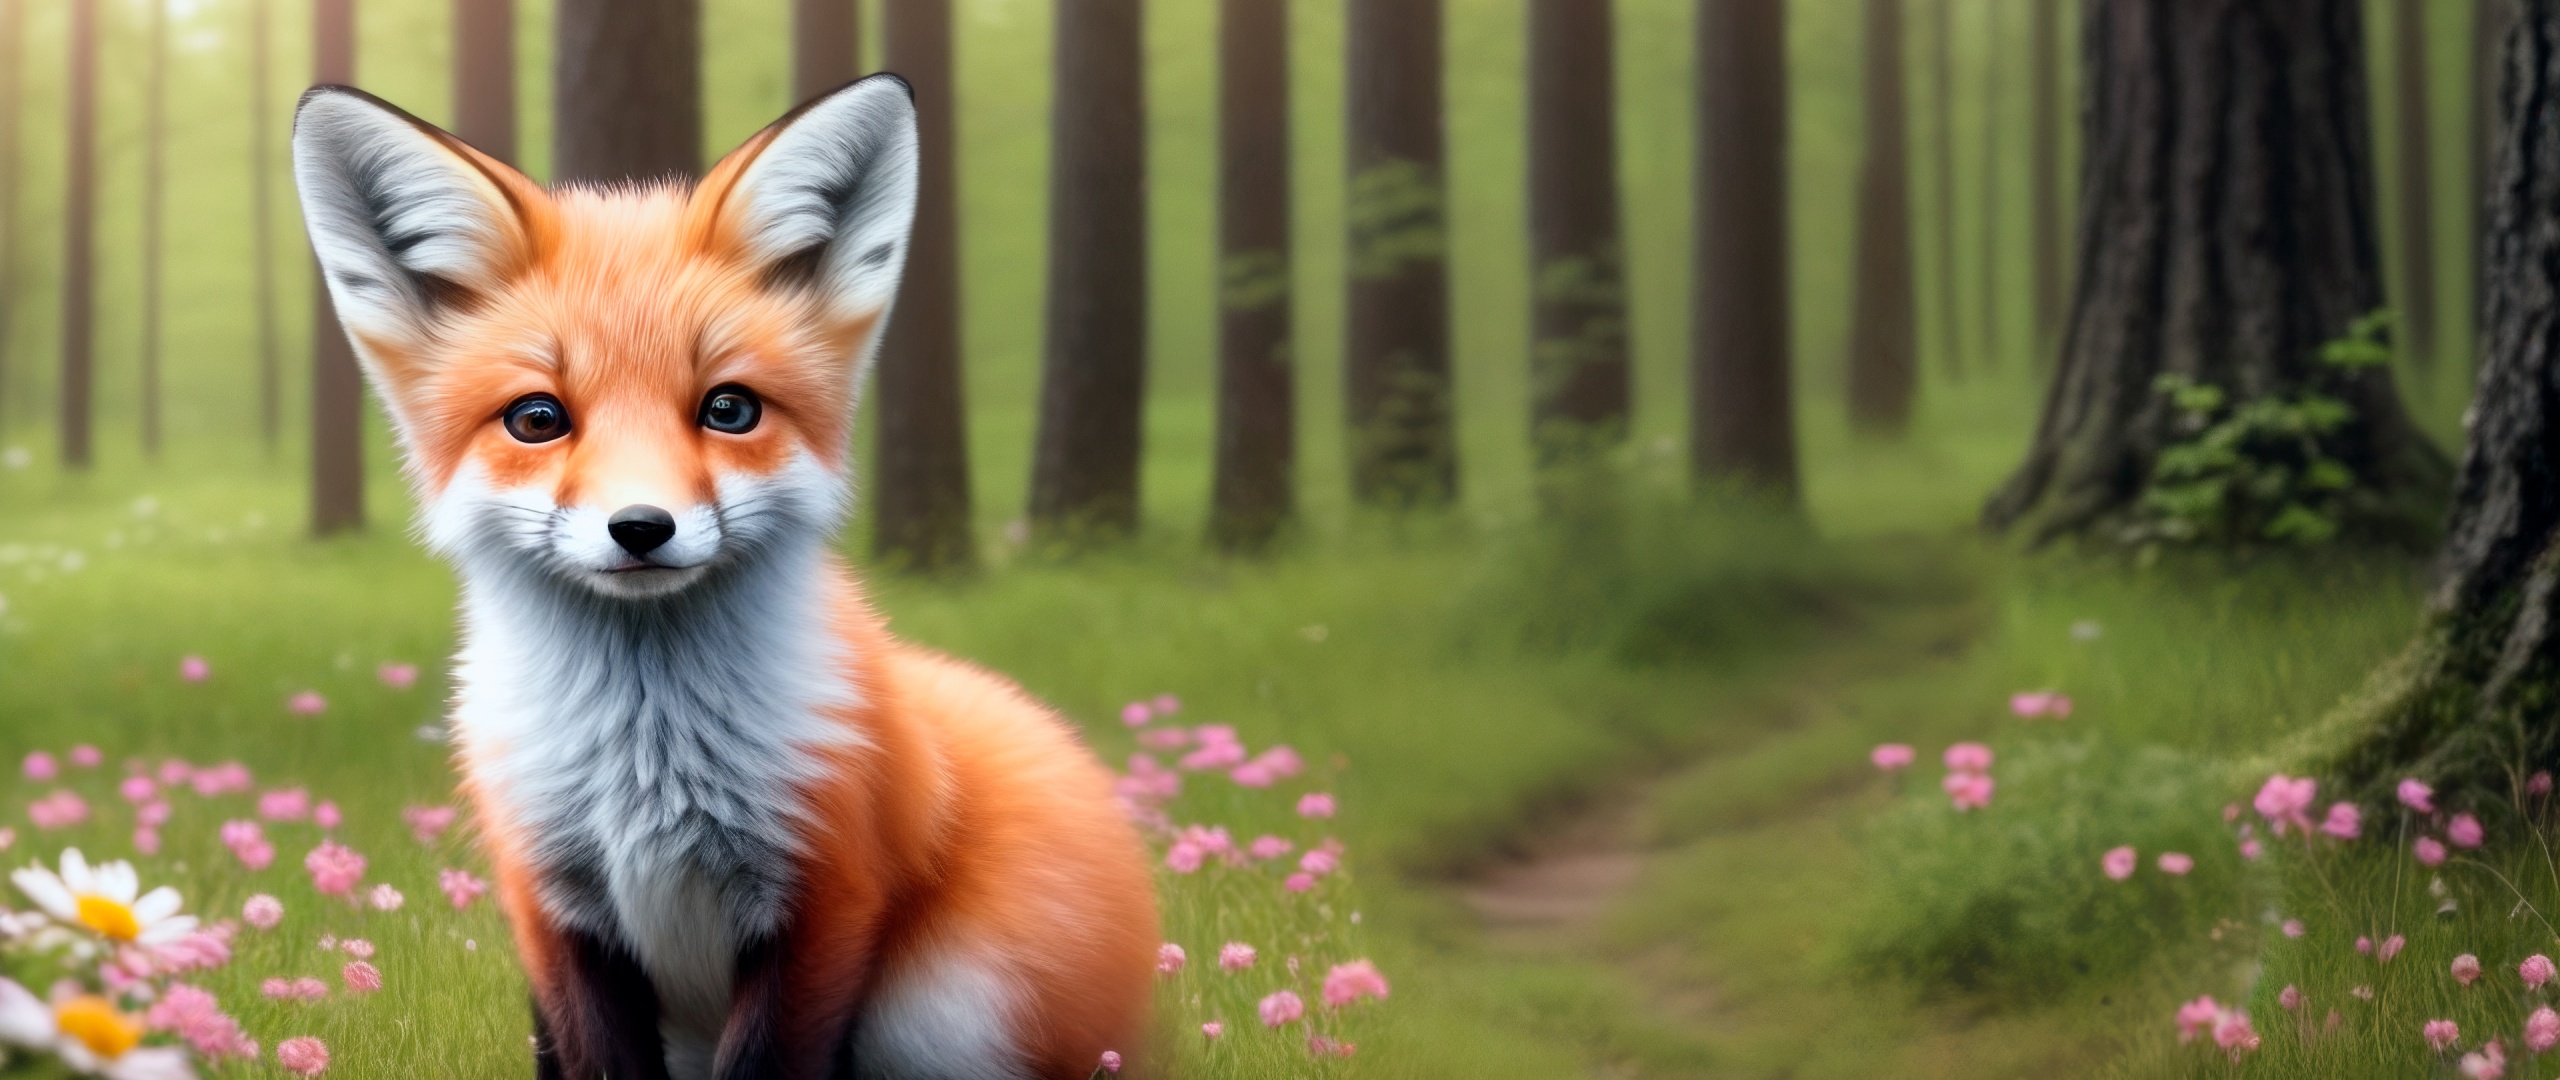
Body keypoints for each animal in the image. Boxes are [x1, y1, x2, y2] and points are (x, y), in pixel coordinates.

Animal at [289, 78, 1158, 1079]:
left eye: (729, 409)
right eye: (537, 419)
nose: (641, 527)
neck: (646, 764)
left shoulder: (823, 895)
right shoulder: (554, 907)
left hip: (949, 1009)